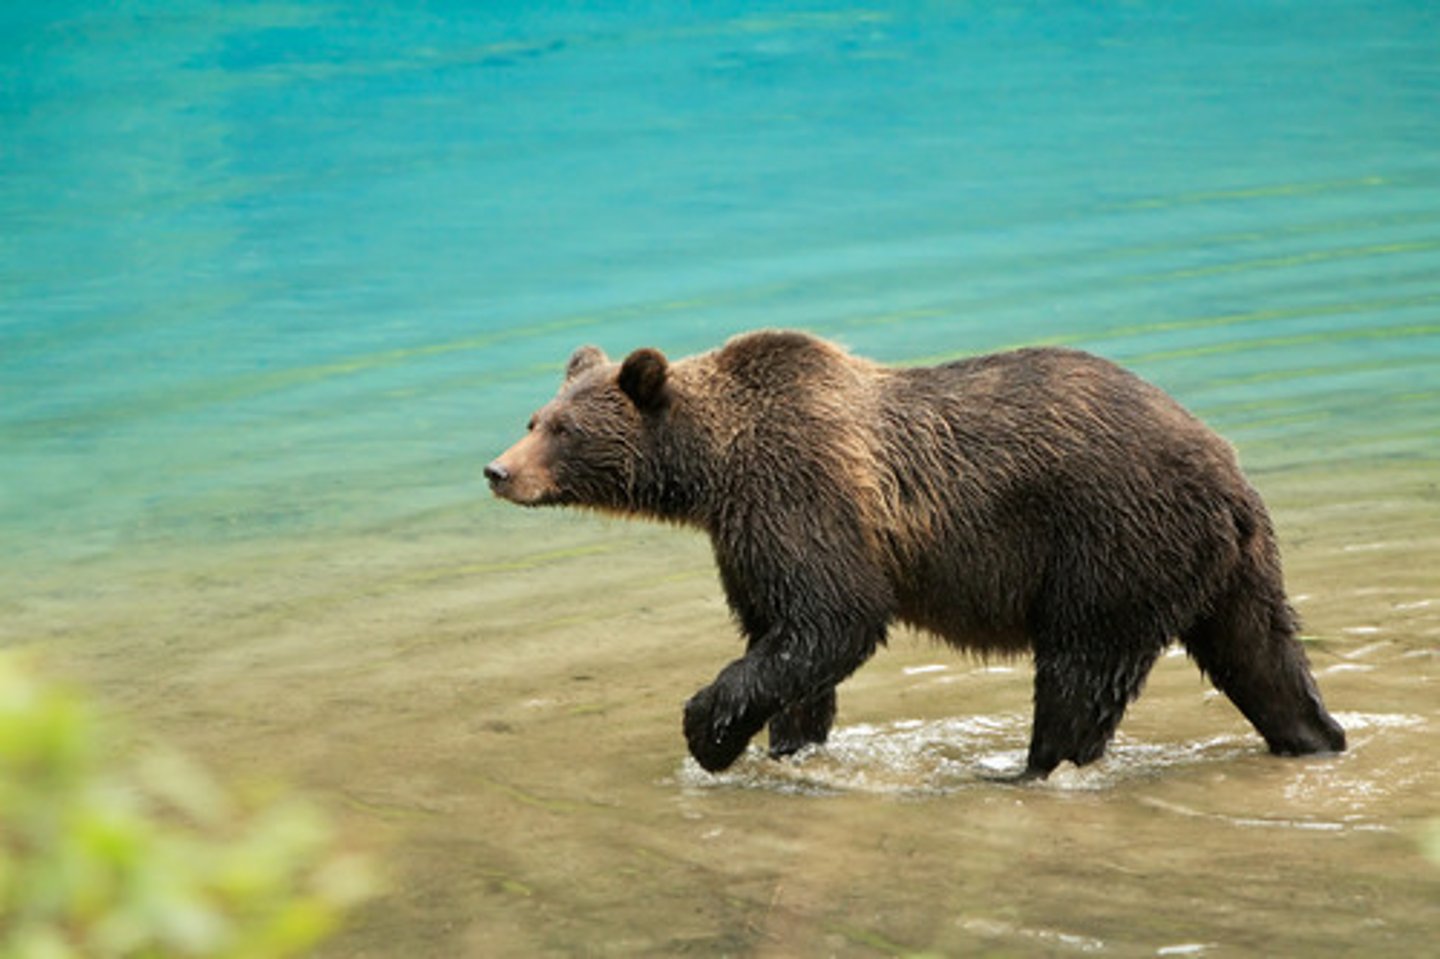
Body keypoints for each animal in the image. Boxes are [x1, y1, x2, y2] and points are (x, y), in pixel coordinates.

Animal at [484, 330, 1346, 779]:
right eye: (534, 417)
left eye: (562, 429)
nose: (498, 469)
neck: (713, 472)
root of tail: (1229, 475)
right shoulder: (749, 535)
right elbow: (788, 639)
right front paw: (789, 742)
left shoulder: (800, 494)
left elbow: (835, 617)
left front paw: (708, 731)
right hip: (1227, 570)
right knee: (1263, 658)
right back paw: (1316, 735)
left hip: (1112, 545)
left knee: (1078, 673)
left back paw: (1026, 766)